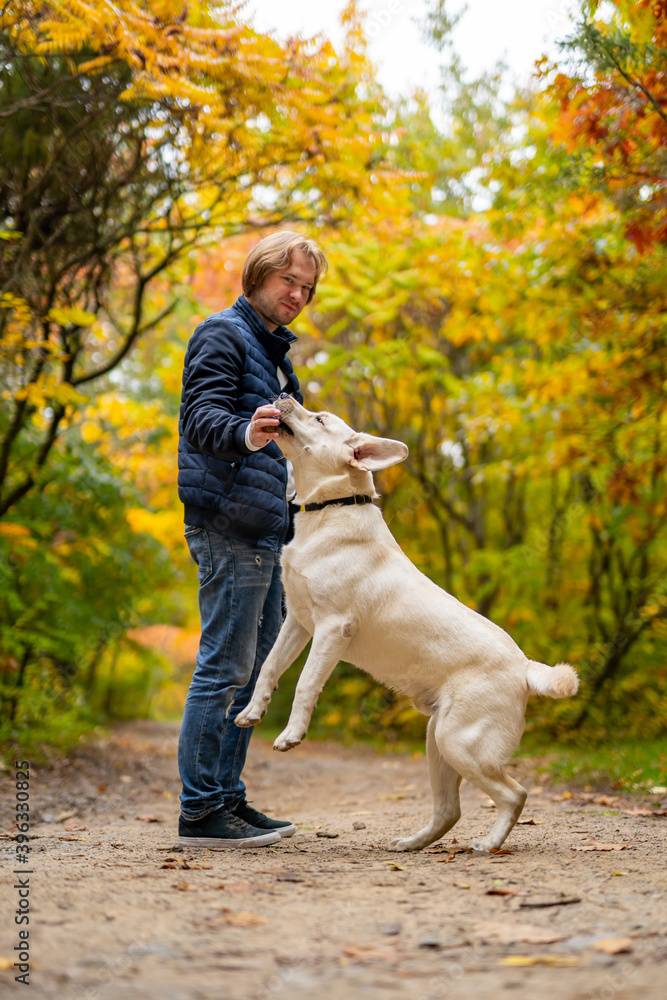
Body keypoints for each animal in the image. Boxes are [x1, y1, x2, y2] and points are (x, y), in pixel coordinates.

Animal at [236, 398, 580, 852]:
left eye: (320, 419)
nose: (283, 397)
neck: (331, 510)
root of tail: (525, 668)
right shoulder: (298, 622)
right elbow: (269, 669)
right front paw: (251, 712)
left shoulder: (332, 629)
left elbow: (306, 684)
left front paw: (291, 735)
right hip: (439, 741)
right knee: (450, 810)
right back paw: (412, 844)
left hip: (458, 742)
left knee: (515, 793)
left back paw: (489, 844)